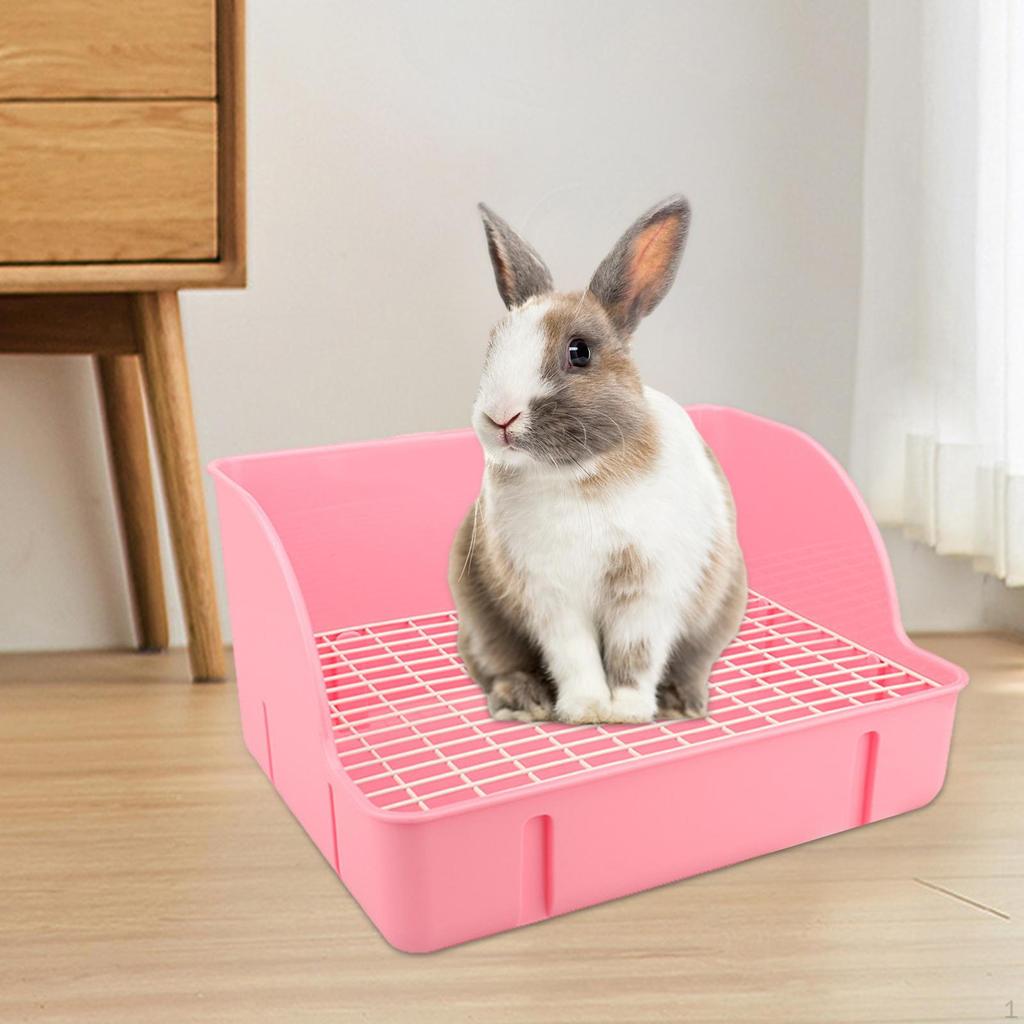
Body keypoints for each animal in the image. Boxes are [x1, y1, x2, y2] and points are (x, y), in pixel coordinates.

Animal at [448, 195, 747, 725]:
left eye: (579, 352)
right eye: (493, 346)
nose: (500, 417)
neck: (578, 475)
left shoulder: (648, 592)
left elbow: (635, 654)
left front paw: (626, 712)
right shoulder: (552, 599)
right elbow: (575, 656)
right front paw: (586, 710)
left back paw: (683, 705)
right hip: (479, 618)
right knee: (499, 663)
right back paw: (523, 704)